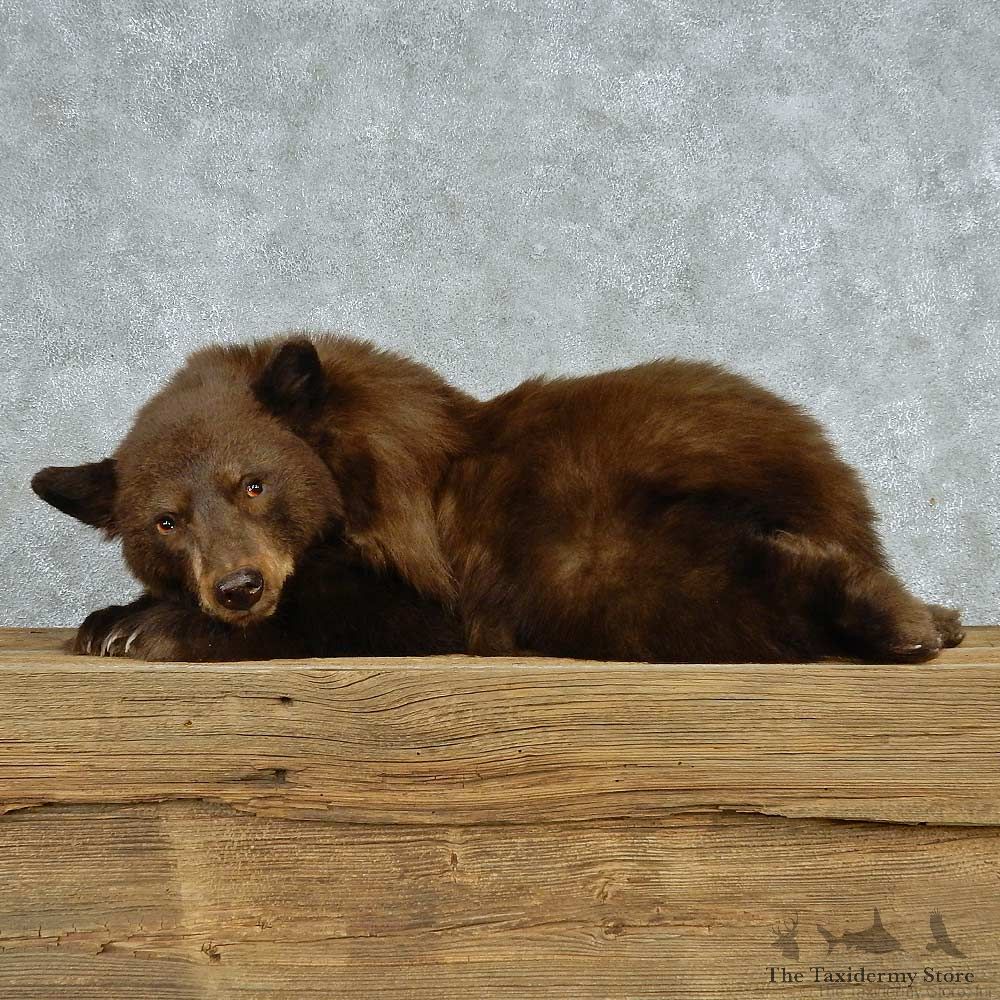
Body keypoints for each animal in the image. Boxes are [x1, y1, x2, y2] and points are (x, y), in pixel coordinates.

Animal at [32, 333, 964, 663]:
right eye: (166, 519)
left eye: (254, 484)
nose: (237, 587)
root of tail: (827, 478)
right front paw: (109, 616)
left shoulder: (432, 563)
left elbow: (376, 607)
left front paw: (145, 627)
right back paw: (937, 612)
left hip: (588, 560)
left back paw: (900, 617)